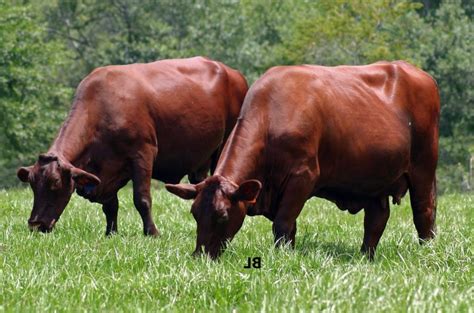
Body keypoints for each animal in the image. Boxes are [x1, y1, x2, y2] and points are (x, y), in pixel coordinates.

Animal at [17, 57, 248, 235]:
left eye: (55, 184)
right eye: (32, 184)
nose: (36, 224)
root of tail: (233, 72)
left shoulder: (142, 153)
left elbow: (141, 198)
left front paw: (152, 233)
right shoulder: (106, 169)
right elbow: (111, 205)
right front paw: (110, 233)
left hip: (224, 145)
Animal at [168, 61, 440, 258]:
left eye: (223, 215)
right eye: (194, 213)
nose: (200, 256)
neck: (271, 118)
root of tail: (416, 72)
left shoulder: (303, 177)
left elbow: (282, 223)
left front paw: (281, 258)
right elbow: (290, 227)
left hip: (423, 166)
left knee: (424, 211)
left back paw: (427, 252)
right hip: (373, 178)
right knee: (376, 219)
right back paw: (365, 257)